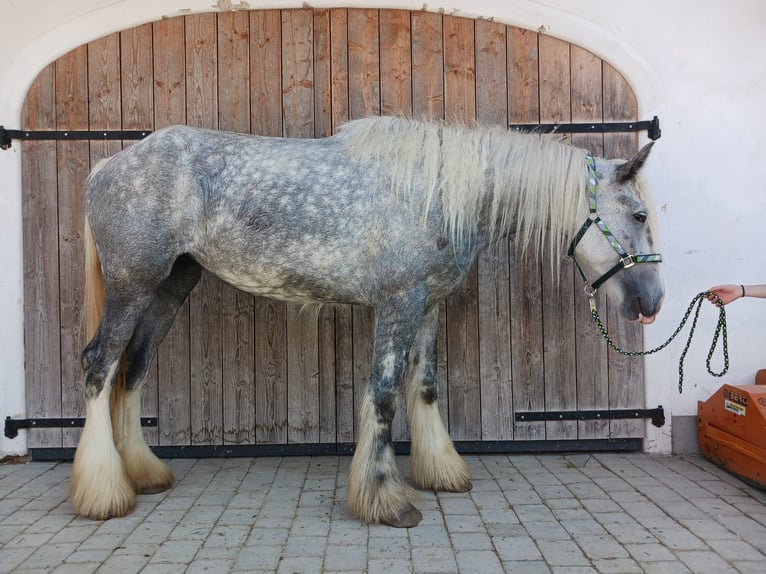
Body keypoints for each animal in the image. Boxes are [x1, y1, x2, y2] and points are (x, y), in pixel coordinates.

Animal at [70, 116, 664, 527]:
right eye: (639, 214)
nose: (652, 300)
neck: (434, 194)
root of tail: (107, 168)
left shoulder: (427, 306)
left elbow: (423, 387)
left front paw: (441, 472)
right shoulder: (398, 304)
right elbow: (382, 394)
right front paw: (384, 500)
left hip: (170, 286)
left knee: (133, 368)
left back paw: (143, 475)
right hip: (132, 286)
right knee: (99, 367)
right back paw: (103, 493)